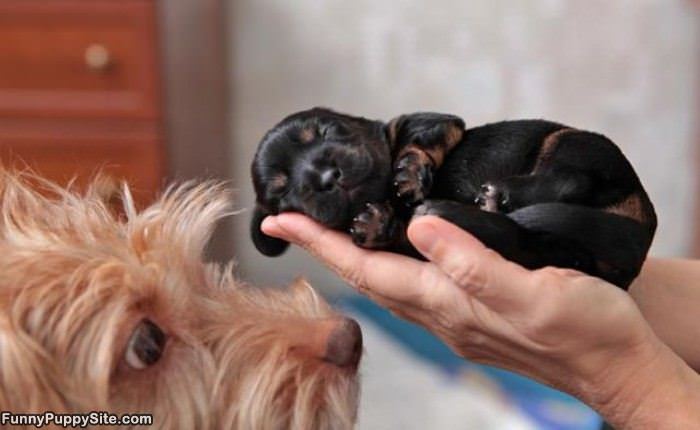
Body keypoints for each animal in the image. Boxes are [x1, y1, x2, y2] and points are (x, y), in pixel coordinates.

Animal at [250, 107, 656, 288]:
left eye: (326, 130)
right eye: (282, 190)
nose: (325, 177)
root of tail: (644, 223)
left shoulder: (430, 122)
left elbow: (416, 142)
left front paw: (408, 176)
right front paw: (377, 223)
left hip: (574, 145)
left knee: (573, 179)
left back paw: (497, 195)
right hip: (557, 251)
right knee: (519, 237)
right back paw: (450, 212)